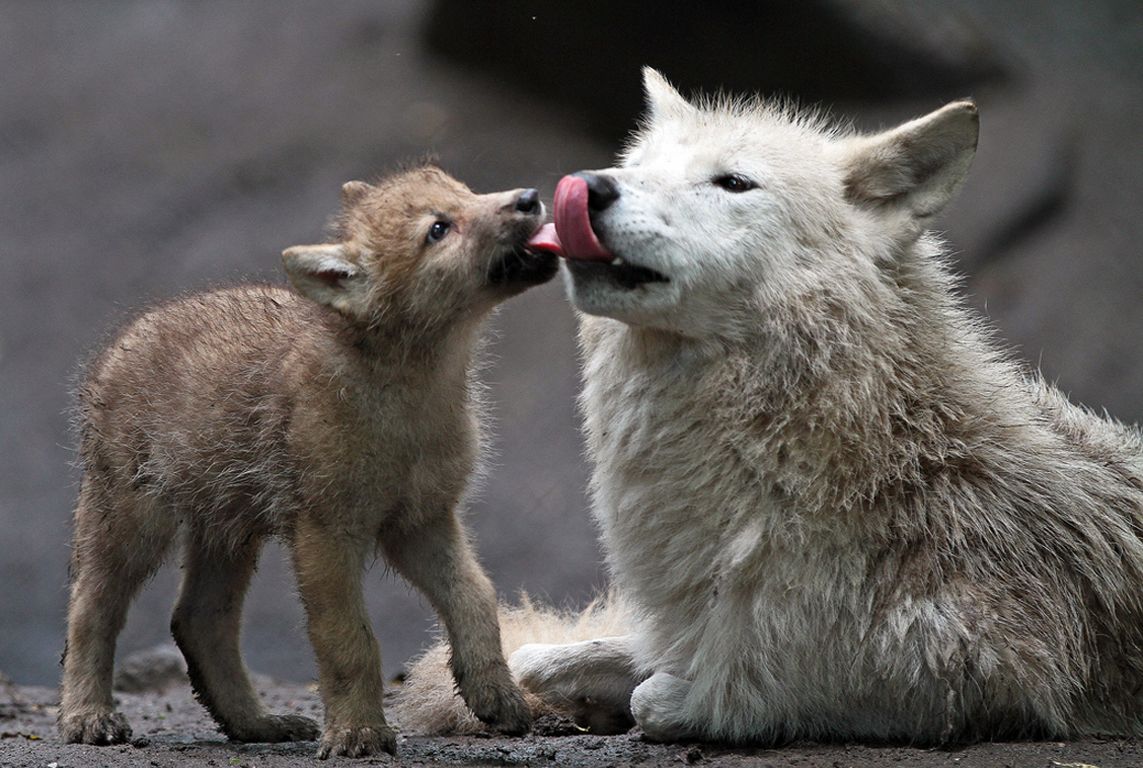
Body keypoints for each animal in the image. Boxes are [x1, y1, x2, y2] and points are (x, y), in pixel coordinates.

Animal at [58, 165, 555, 757]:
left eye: (467, 191)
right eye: (438, 228)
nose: (529, 197)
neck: (413, 396)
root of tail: (123, 340)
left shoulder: (422, 521)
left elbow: (476, 598)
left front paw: (497, 697)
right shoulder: (327, 532)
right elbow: (349, 639)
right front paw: (359, 733)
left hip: (228, 525)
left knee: (198, 620)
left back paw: (256, 724)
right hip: (132, 519)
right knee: (91, 608)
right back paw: (88, 717)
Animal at [395, 70, 1143, 744]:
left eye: (733, 183)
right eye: (635, 168)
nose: (592, 185)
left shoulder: (976, 664)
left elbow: (687, 693)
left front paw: (678, 702)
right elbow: (550, 657)